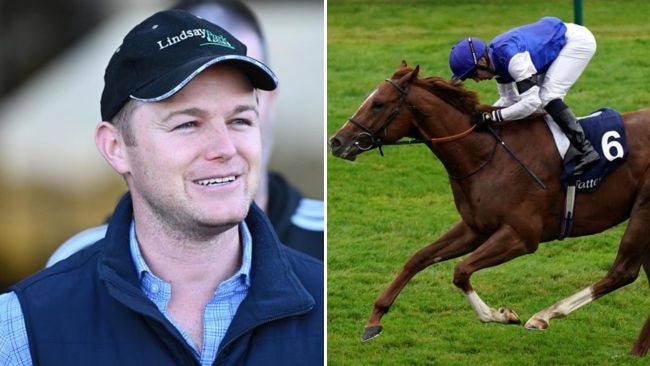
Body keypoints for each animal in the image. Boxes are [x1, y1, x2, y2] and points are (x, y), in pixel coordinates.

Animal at [326, 61, 648, 356]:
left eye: (378, 103)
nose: (336, 141)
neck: (485, 155)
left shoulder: (521, 236)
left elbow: (460, 270)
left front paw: (500, 315)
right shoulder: (475, 228)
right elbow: (418, 258)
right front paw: (374, 321)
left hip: (643, 211)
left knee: (623, 271)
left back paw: (544, 316)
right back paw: (635, 352)